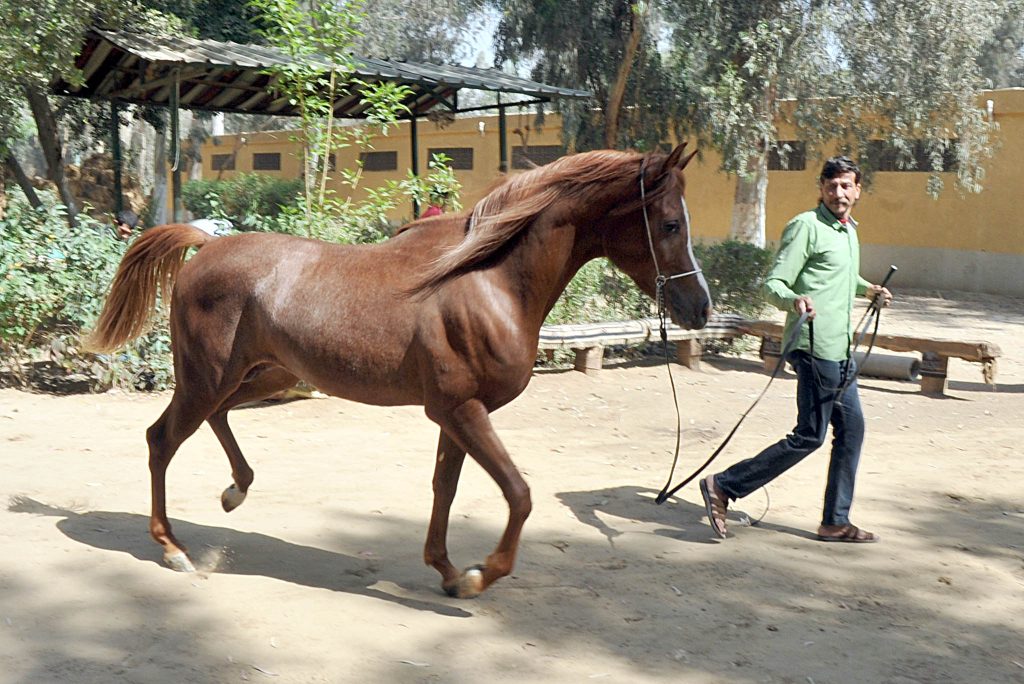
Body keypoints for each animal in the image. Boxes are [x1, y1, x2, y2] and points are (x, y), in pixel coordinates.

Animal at [88, 143, 712, 597]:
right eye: (670, 224)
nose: (700, 308)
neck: (489, 280)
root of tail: (205, 244)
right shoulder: (461, 409)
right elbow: (518, 493)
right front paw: (480, 574)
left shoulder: (455, 413)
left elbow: (446, 486)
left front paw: (448, 571)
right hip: (207, 377)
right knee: (162, 439)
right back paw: (173, 548)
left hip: (266, 375)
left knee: (213, 421)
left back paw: (234, 492)